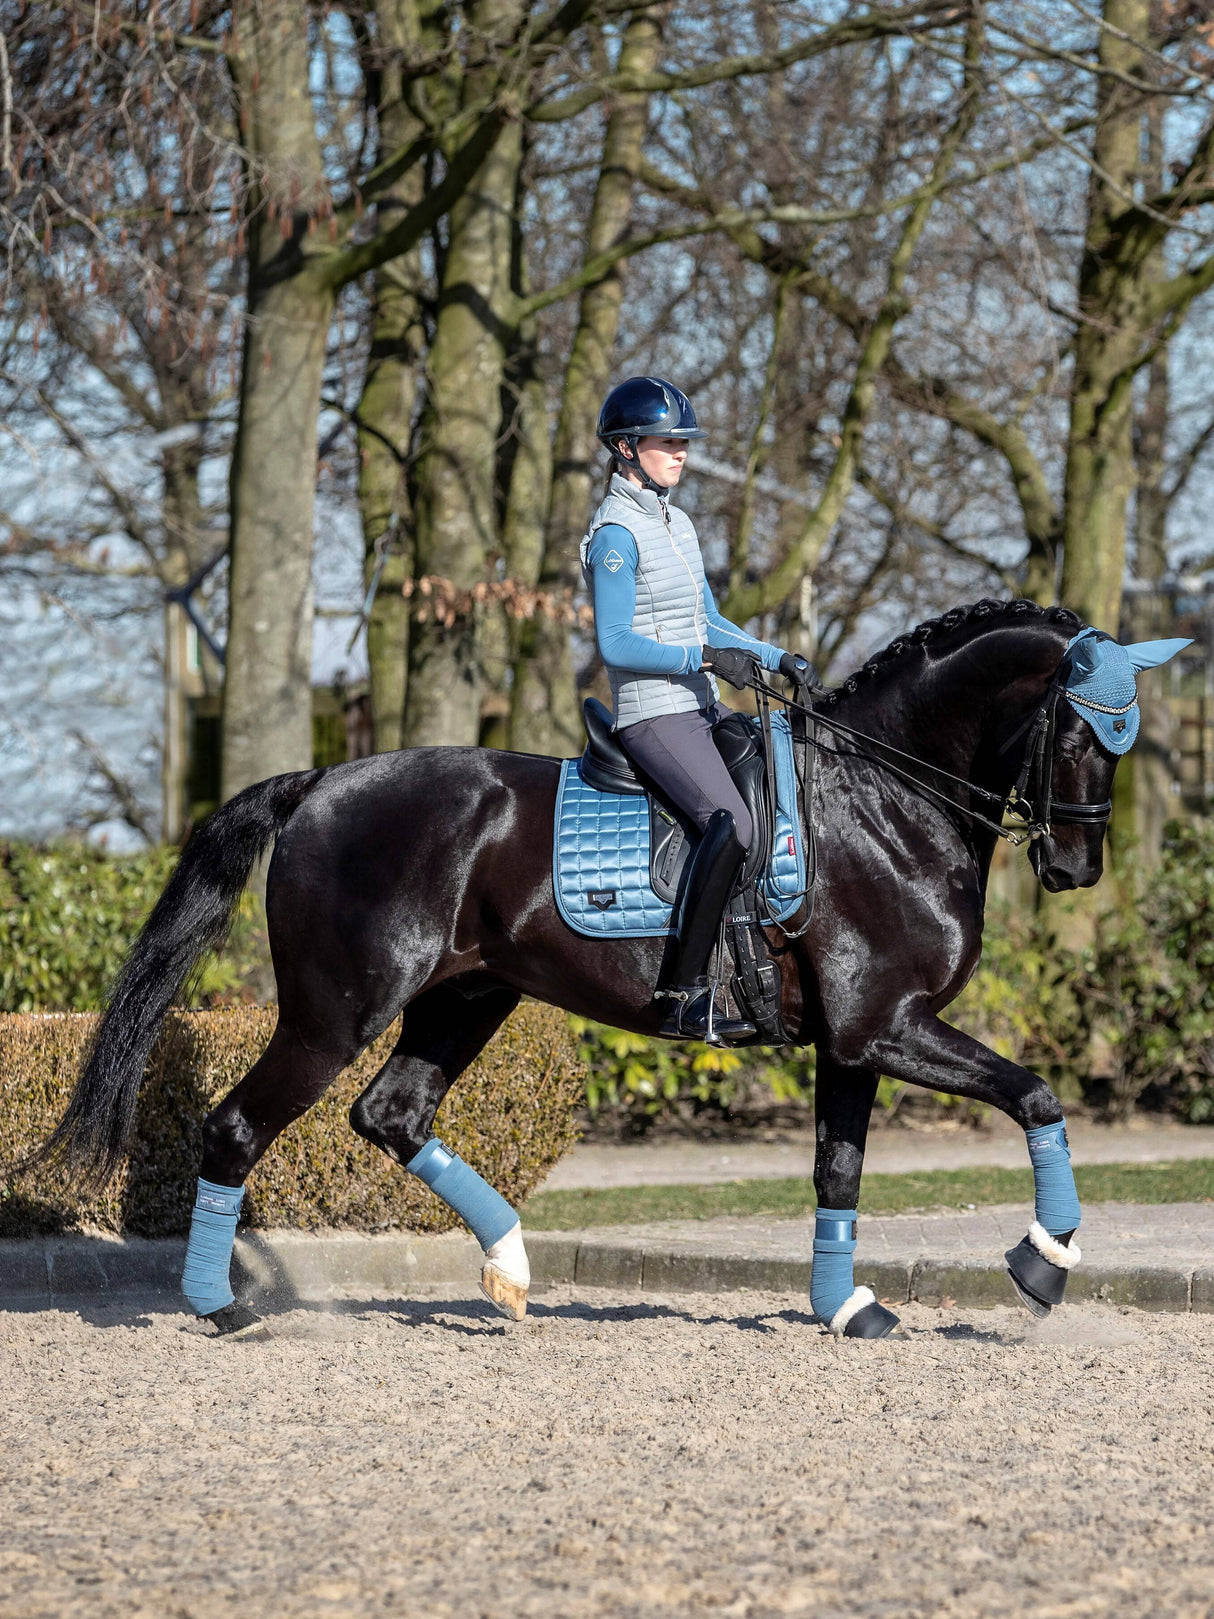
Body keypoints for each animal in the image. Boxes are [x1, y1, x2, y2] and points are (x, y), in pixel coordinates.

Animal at [38, 602, 1120, 1334]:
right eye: (1078, 731)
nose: (1075, 868)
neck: (884, 795)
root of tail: (323, 780)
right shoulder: (886, 1026)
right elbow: (1034, 1093)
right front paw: (1043, 1262)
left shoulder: (854, 1041)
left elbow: (837, 1168)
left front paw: (845, 1306)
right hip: (333, 1014)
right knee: (237, 1126)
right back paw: (220, 1307)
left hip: (464, 997)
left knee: (390, 1114)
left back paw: (511, 1269)